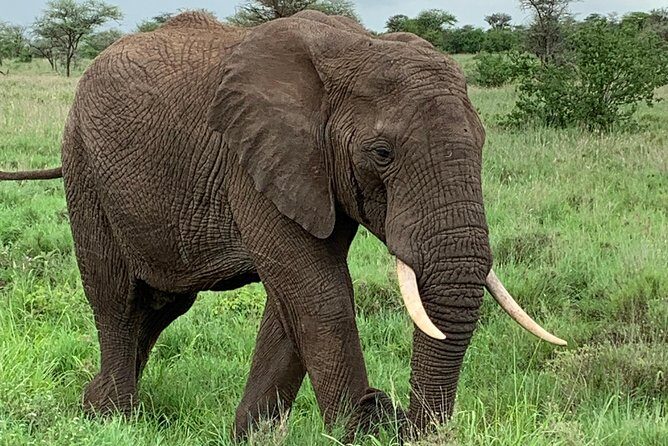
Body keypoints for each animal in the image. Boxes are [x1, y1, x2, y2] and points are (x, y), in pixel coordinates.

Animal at [0, 11, 566, 441]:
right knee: (116, 297)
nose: (399, 416)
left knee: (161, 304)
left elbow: (293, 299)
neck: (357, 49)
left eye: (484, 141)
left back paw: (93, 403)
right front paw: (360, 429)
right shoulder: (253, 159)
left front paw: (249, 435)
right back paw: (114, 418)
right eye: (381, 154)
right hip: (83, 167)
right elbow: (316, 289)